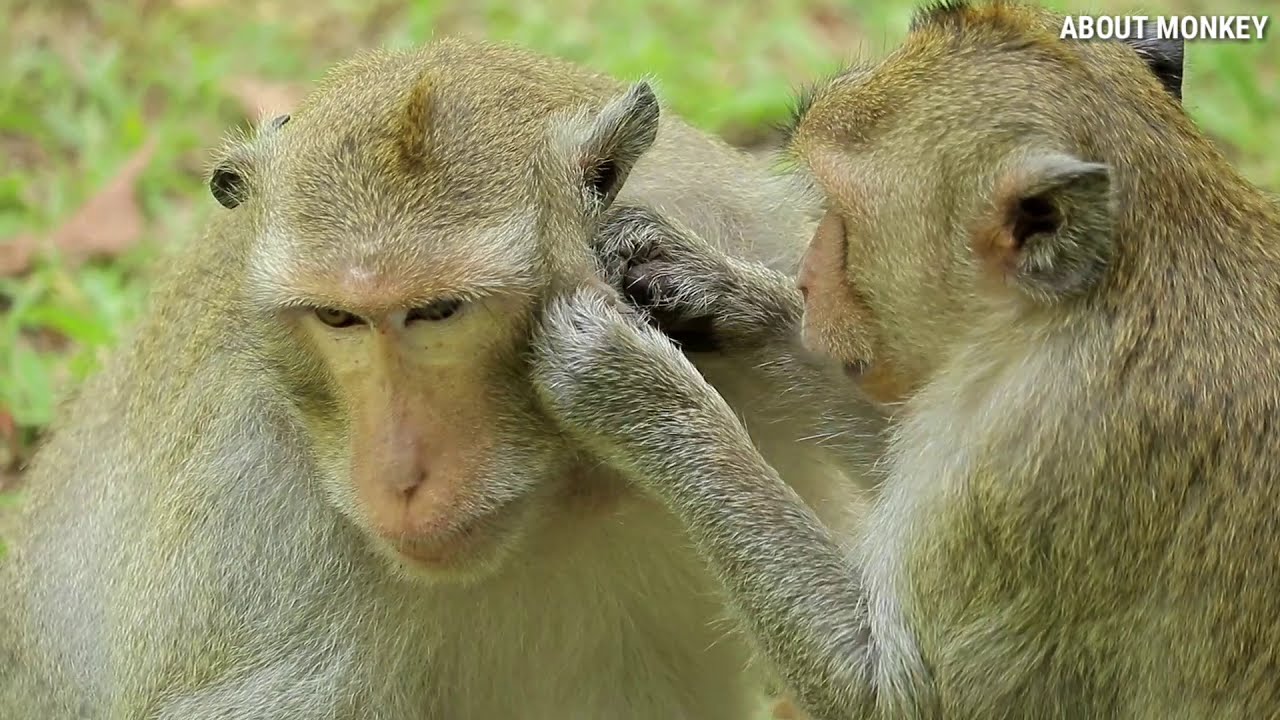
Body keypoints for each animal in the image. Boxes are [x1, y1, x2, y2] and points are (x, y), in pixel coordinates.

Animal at [0, 39, 886, 719]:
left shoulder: (754, 238)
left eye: (438, 311)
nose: (398, 475)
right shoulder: (254, 506)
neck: (561, 489)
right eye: (338, 319)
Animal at [527, 2, 1280, 718]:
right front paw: (700, 284)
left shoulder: (1035, 466)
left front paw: (632, 384)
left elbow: (890, 698)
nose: (808, 279)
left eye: (841, 212)